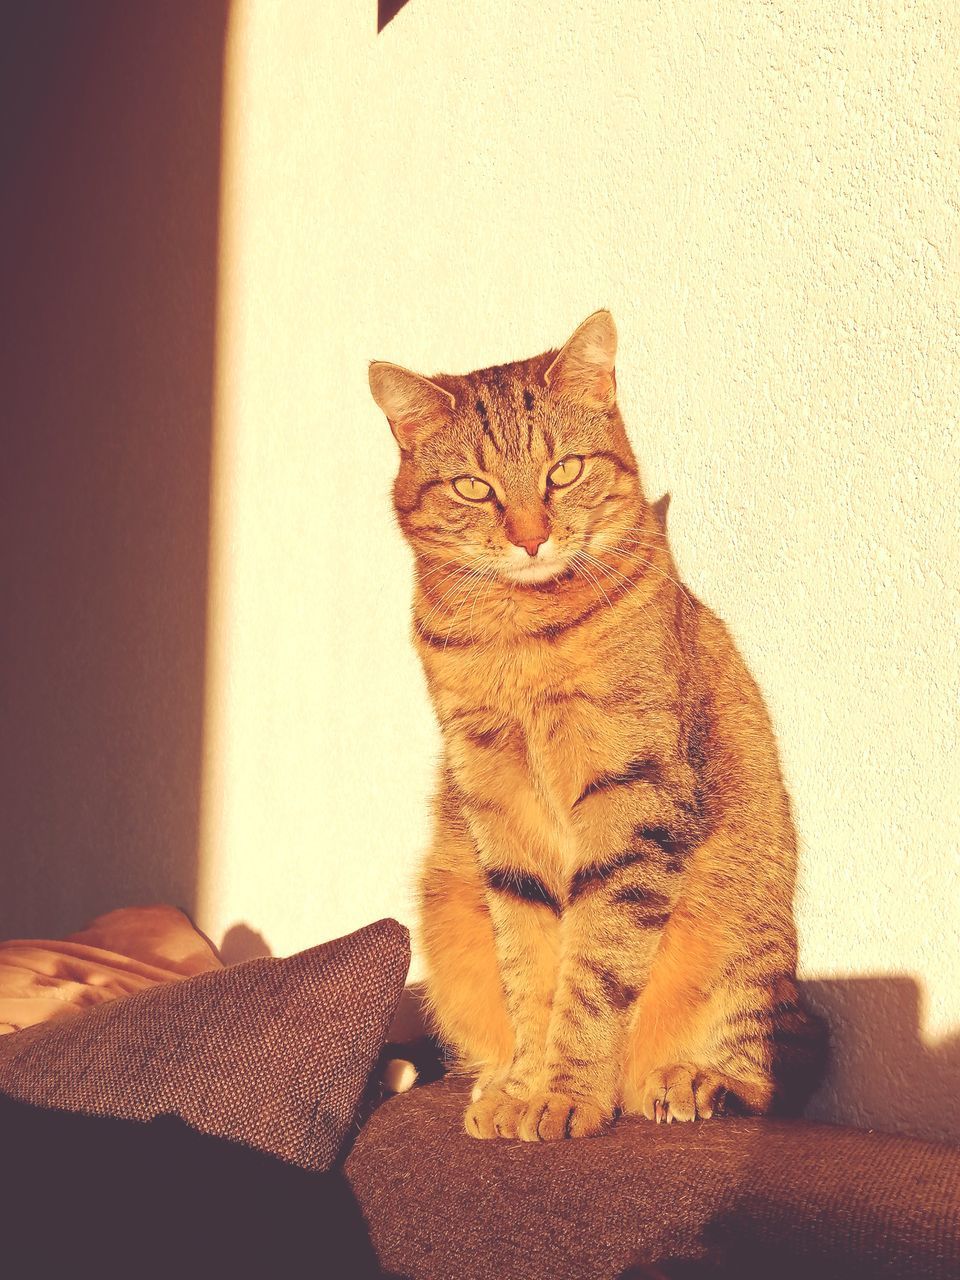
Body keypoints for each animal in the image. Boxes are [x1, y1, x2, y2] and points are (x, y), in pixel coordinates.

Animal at [368, 309, 829, 1141]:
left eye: (564, 471)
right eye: (474, 487)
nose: (530, 536)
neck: (517, 636)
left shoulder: (632, 795)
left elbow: (593, 969)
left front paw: (566, 1092)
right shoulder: (495, 807)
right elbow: (531, 970)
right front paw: (525, 1087)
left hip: (739, 928)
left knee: (771, 1061)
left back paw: (692, 1081)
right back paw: (497, 1081)